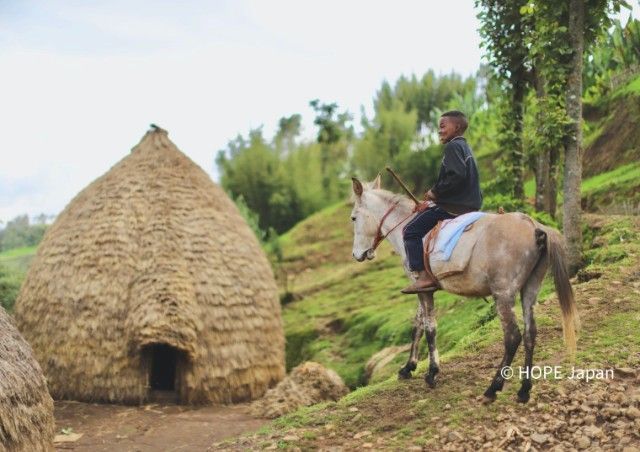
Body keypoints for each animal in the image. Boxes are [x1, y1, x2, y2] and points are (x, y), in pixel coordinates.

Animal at [350, 175, 579, 403]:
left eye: (353, 218)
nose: (356, 255)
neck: (405, 226)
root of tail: (533, 226)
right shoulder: (420, 288)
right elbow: (418, 325)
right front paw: (409, 367)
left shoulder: (423, 289)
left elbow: (430, 328)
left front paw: (432, 372)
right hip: (530, 289)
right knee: (530, 333)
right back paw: (524, 390)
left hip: (503, 294)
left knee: (513, 337)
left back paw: (493, 388)